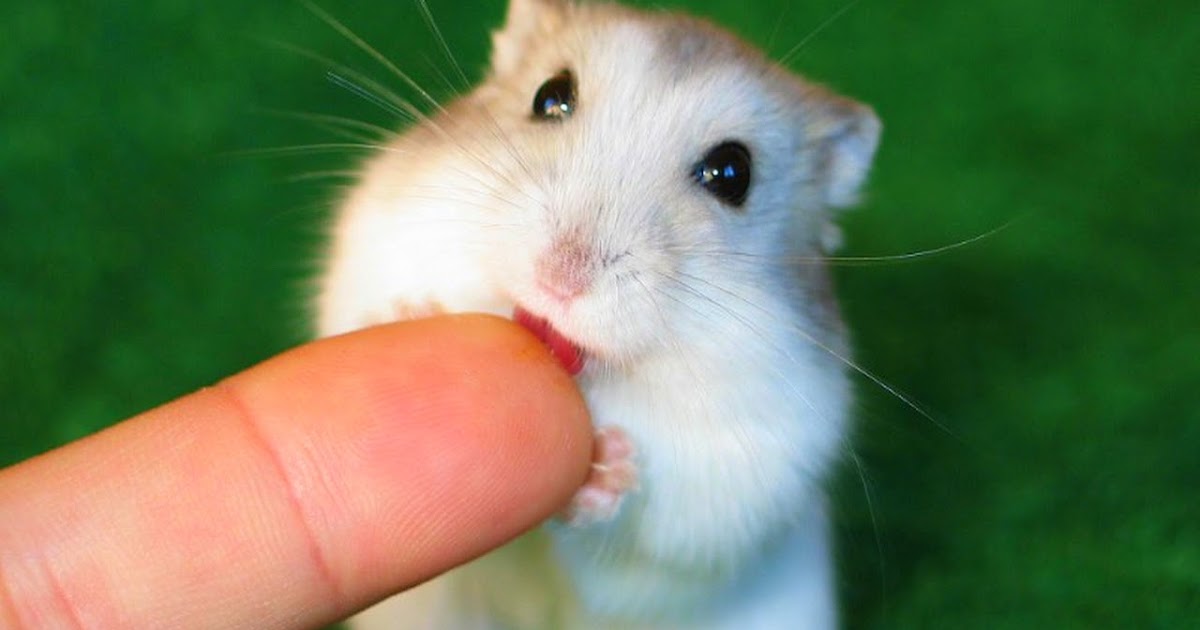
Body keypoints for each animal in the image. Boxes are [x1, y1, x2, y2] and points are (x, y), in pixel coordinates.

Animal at [316, 1, 881, 628]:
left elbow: (634, 547)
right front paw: (407, 315)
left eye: (733, 173)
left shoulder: (739, 488)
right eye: (550, 96)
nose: (560, 277)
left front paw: (607, 467)